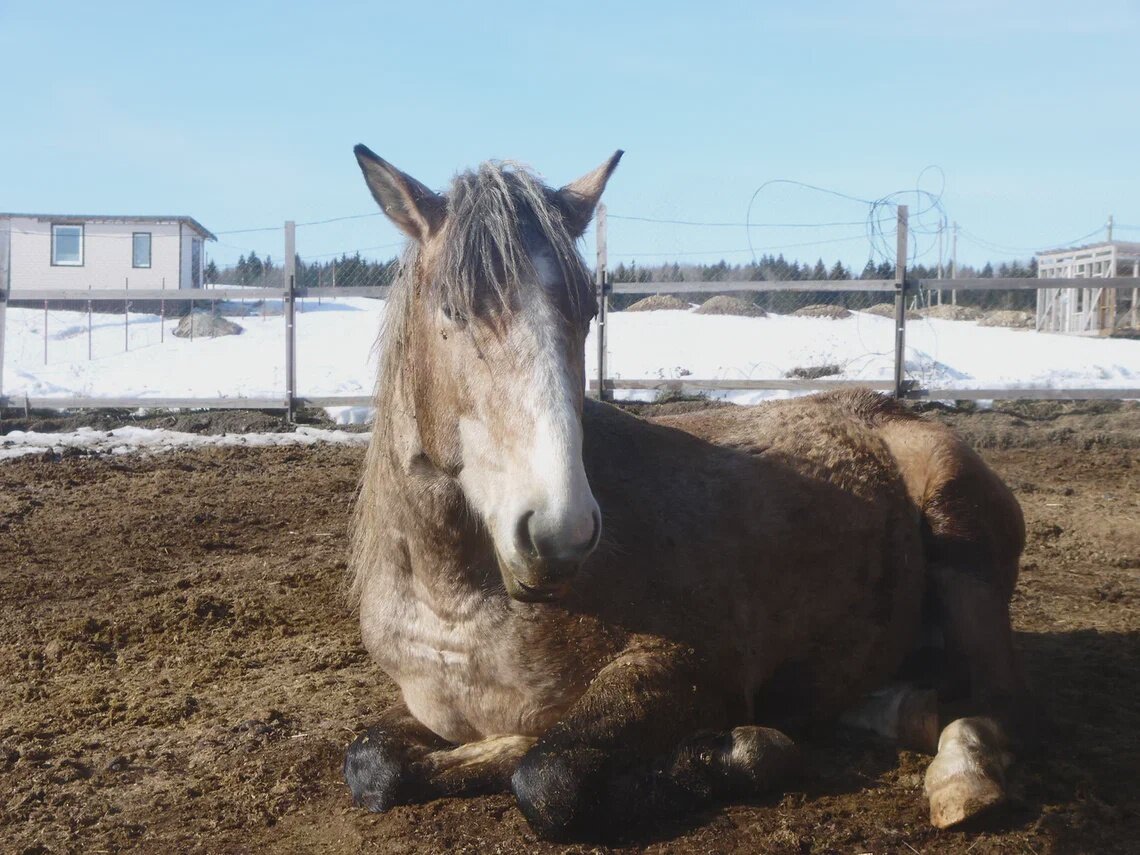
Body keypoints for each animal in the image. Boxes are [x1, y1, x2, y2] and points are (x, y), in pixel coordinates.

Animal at [342, 147, 1030, 843]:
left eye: (586, 315)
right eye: (451, 311)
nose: (559, 535)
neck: (454, 599)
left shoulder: (692, 668)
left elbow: (549, 776)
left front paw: (746, 747)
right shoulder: (424, 706)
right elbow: (371, 762)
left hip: (962, 540)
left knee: (992, 698)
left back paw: (960, 775)